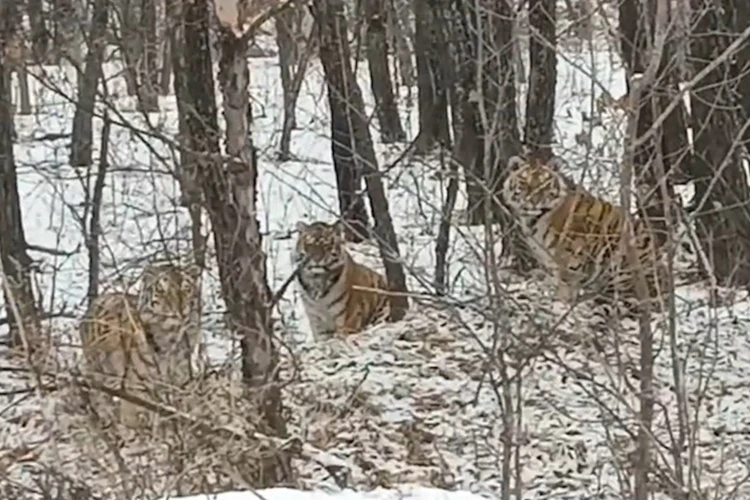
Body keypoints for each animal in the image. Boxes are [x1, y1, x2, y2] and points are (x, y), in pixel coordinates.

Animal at [502, 154, 672, 314]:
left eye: (544, 185)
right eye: (524, 183)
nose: (534, 202)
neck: (534, 218)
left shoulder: (571, 254)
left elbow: (566, 282)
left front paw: (561, 304)